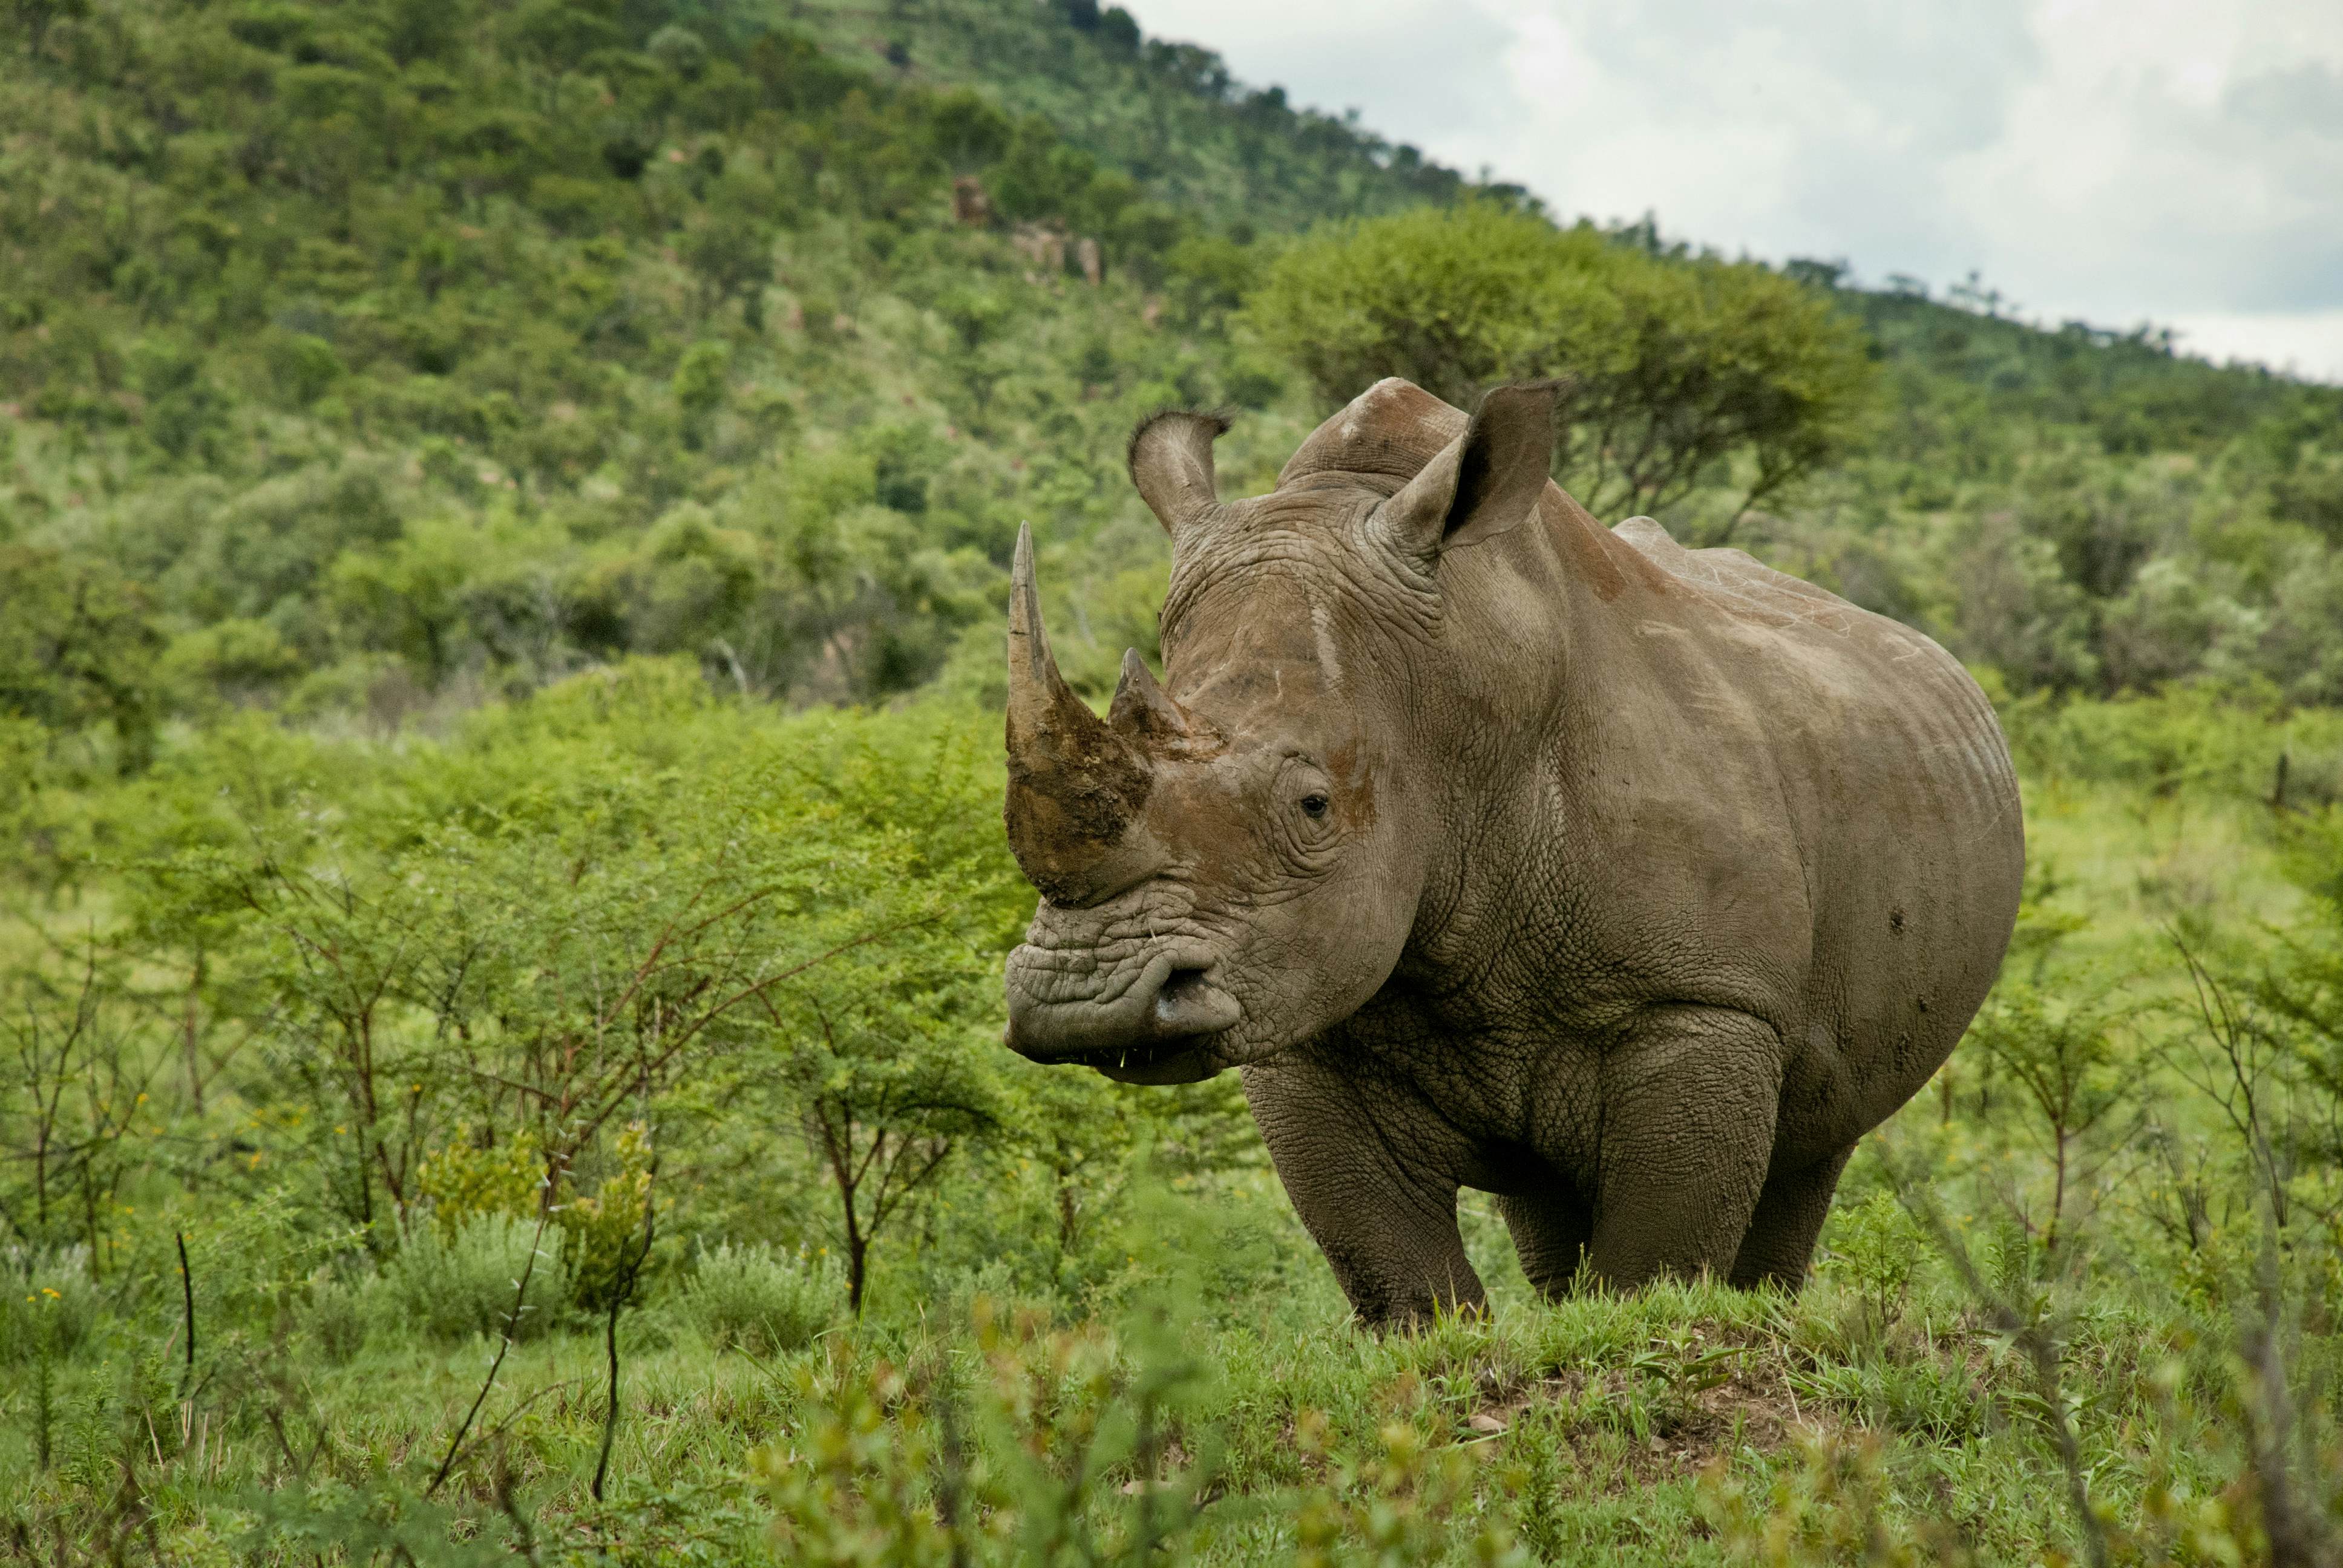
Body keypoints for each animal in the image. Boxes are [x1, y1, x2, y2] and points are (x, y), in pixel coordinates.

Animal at [1000, 377, 2023, 1325]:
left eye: (1314, 806)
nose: (1085, 1006)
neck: (1457, 702)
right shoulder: (1303, 1011)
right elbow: (1399, 1275)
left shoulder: (1705, 999)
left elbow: (1652, 1267)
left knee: (1816, 1143)